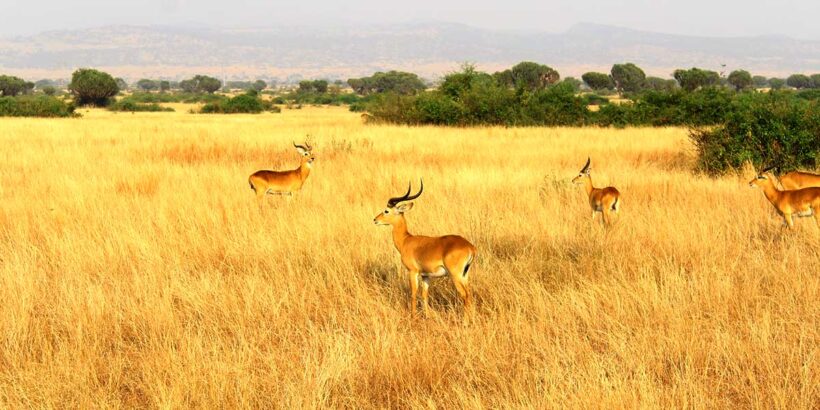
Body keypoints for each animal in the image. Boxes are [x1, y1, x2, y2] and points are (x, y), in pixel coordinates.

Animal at [374, 179, 478, 318]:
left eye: (386, 211)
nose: (375, 220)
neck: (406, 240)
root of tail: (470, 246)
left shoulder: (413, 272)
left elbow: (413, 294)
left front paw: (413, 317)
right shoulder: (425, 276)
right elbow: (424, 295)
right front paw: (427, 316)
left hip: (455, 275)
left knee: (465, 295)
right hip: (465, 275)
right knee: (470, 294)